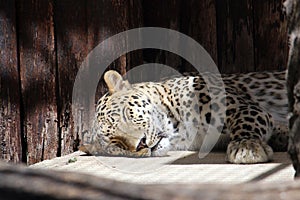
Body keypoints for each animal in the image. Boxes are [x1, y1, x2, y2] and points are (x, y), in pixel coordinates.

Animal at [81, 69, 288, 163]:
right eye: (116, 143)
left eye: (125, 115)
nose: (142, 143)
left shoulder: (241, 106)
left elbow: (246, 122)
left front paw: (246, 147)